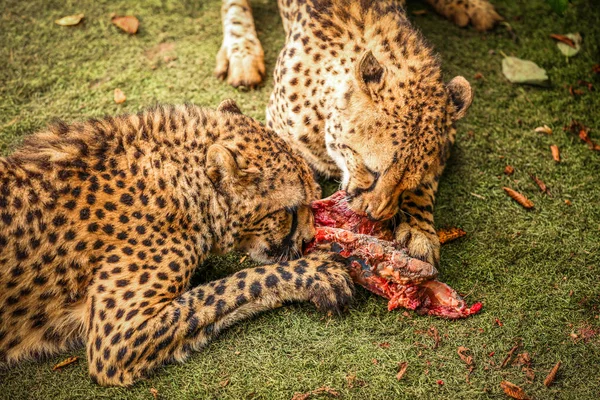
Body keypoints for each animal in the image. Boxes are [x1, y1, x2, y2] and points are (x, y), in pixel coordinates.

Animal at [0, 101, 354, 386]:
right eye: (290, 210)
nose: (308, 239)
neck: (180, 179)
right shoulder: (117, 340)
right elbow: (233, 285)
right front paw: (317, 273)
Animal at [217, 0, 496, 268]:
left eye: (409, 183)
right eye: (371, 170)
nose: (376, 214)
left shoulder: (448, 139)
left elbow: (424, 192)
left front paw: (419, 230)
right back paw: (242, 54)